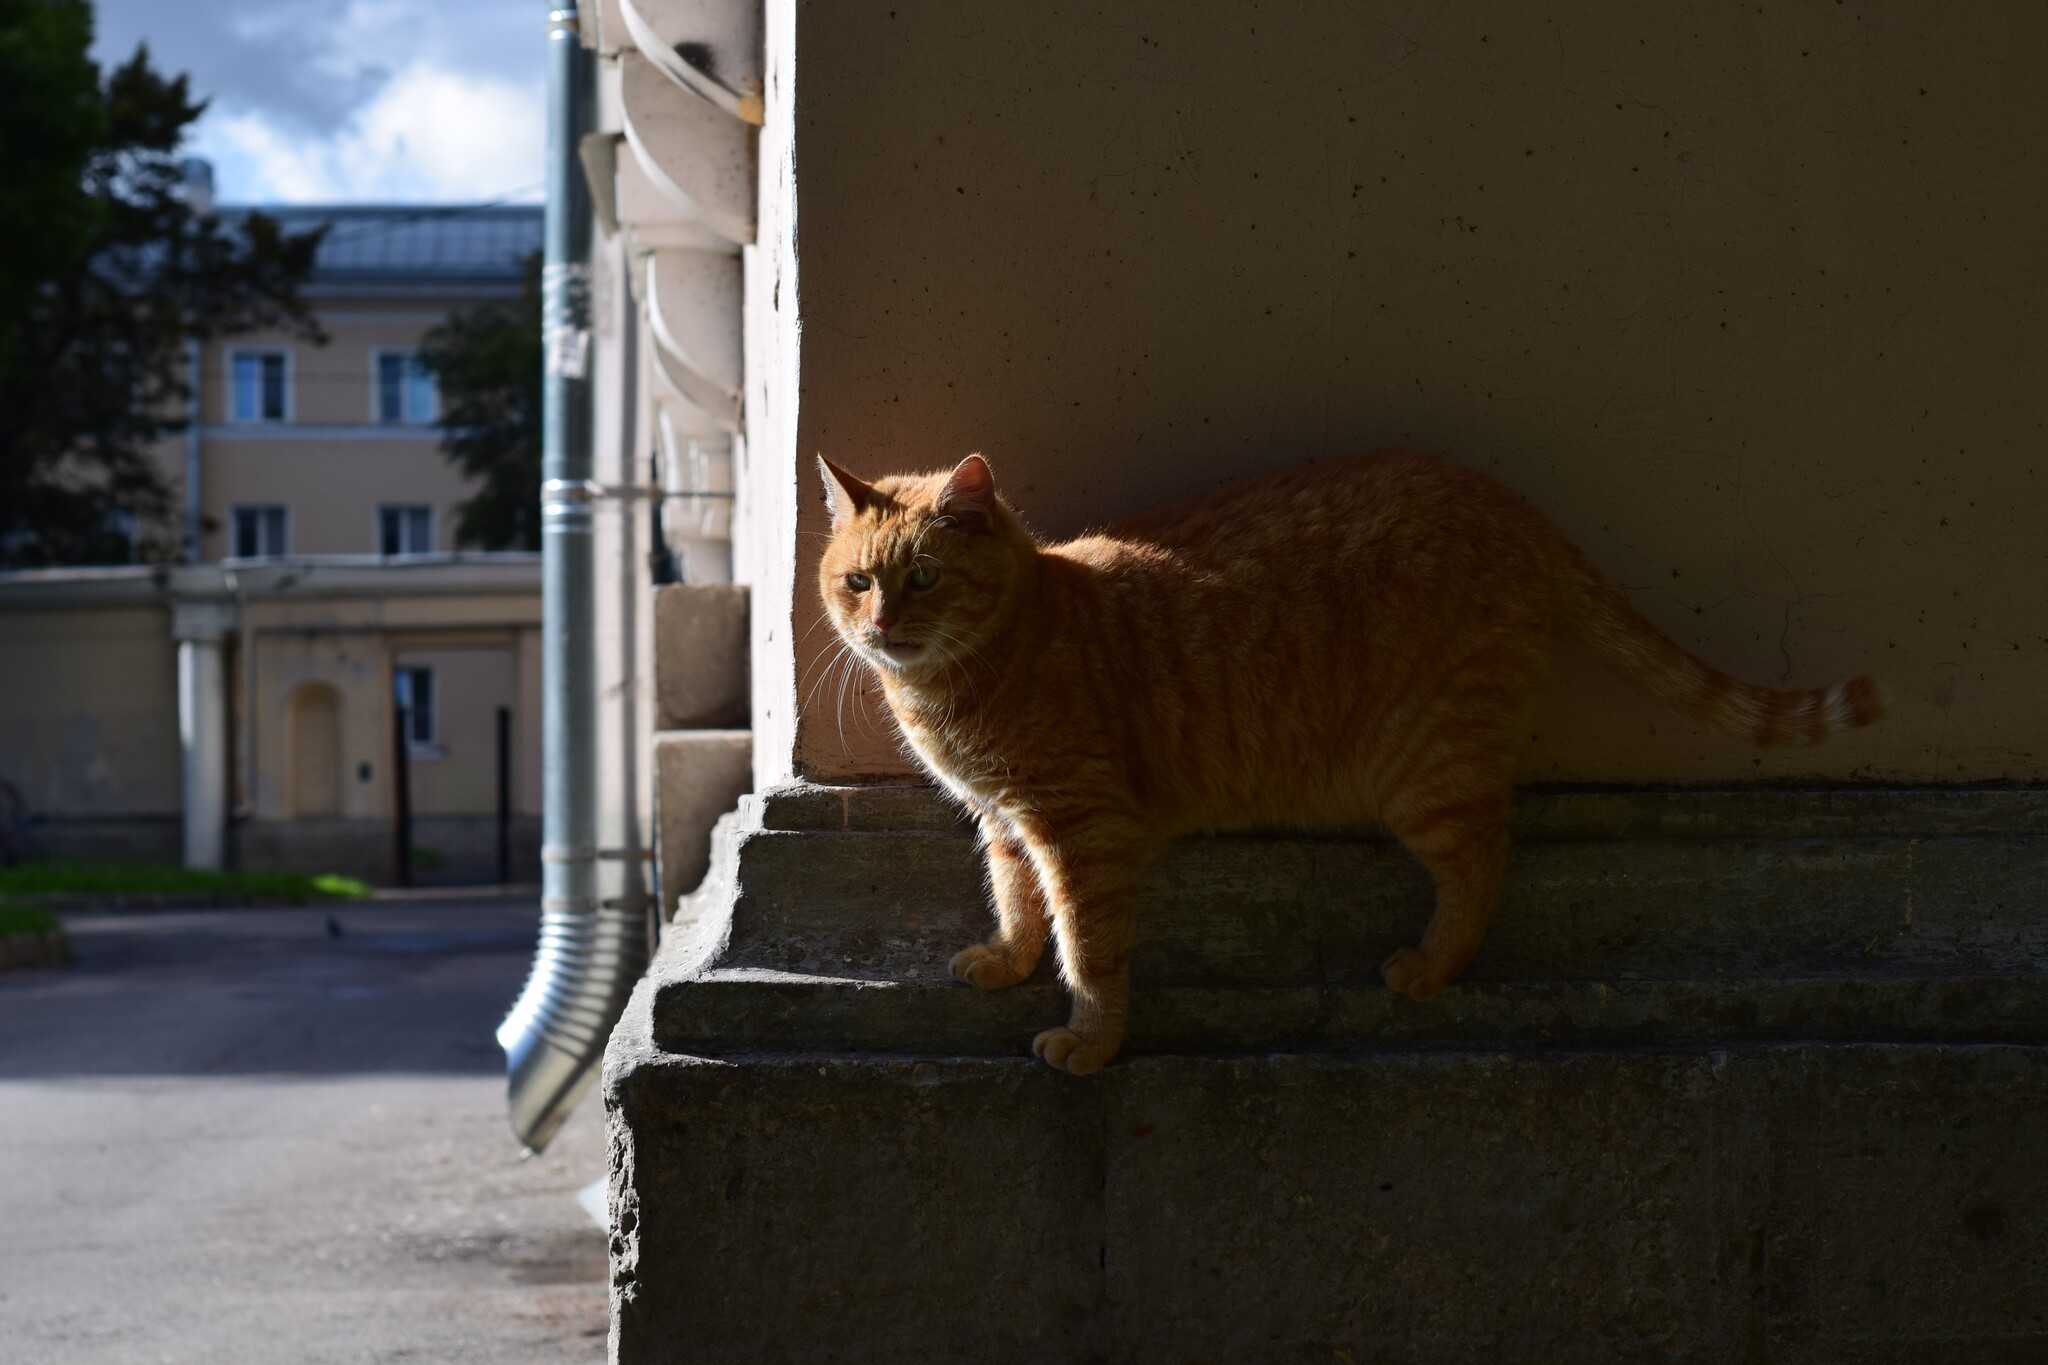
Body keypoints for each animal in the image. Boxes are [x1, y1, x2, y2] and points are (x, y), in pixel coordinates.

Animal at [815, 454, 1884, 1072]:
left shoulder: (1084, 830)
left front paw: (1091, 1038)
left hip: (1423, 773)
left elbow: (1090, 945)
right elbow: (1018, 900)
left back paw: (1432, 966)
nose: (881, 626)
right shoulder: (1008, 824)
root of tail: (1511, 505)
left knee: (1486, 857)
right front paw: (1006, 960)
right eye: (858, 581)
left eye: (924, 578)